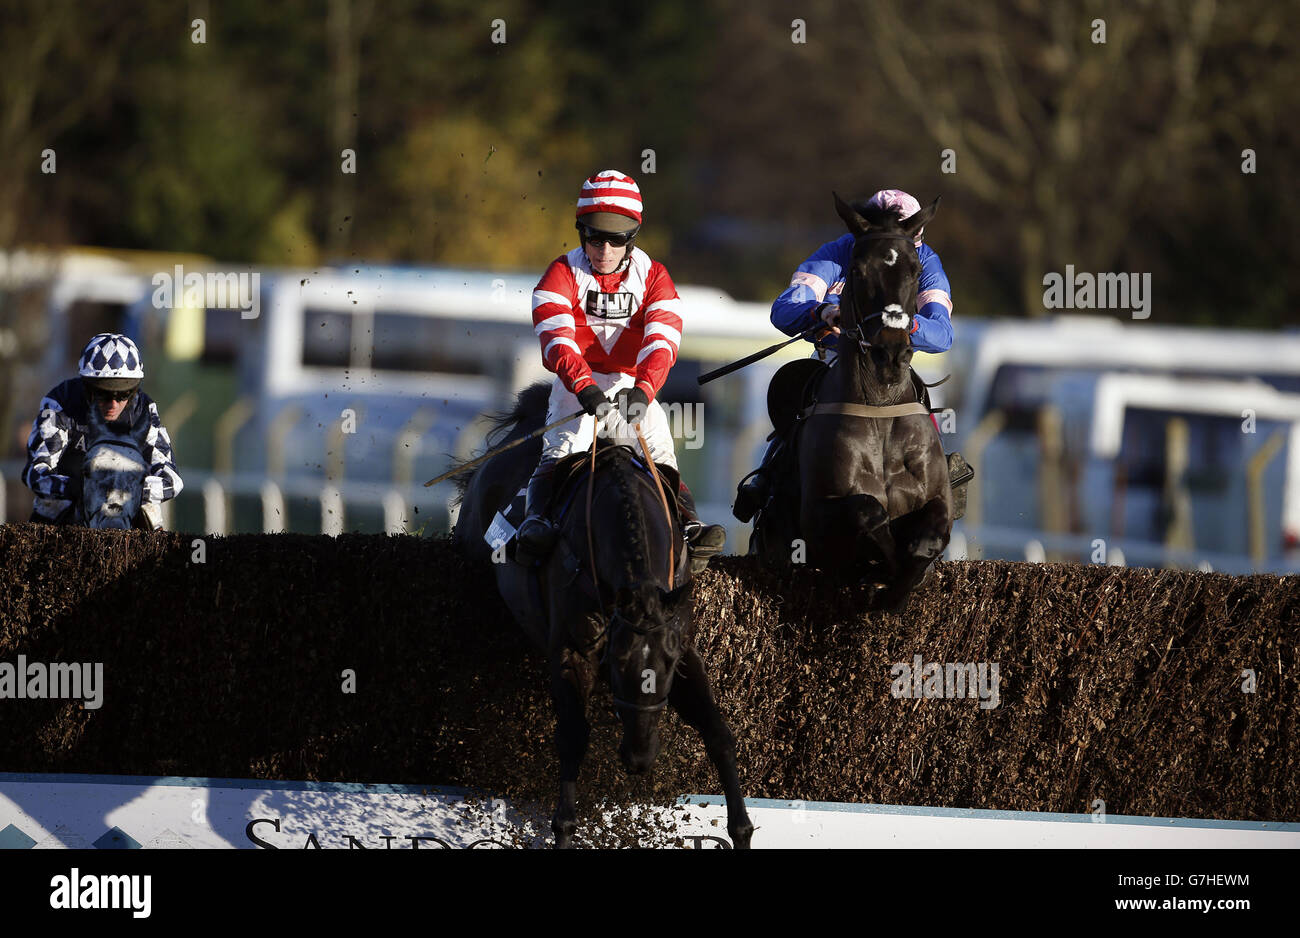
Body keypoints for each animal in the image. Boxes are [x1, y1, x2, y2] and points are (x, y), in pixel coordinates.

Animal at [452, 379, 754, 847]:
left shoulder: (683, 644)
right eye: (616, 662)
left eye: (667, 666)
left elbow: (718, 733)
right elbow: (573, 738)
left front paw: (741, 828)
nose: (639, 758)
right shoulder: (570, 650)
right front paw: (562, 828)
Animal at [754, 193, 956, 610]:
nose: (890, 354)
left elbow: (925, 541)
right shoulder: (816, 521)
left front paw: (899, 580)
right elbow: (867, 511)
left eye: (915, 270)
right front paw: (881, 573)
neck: (879, 406)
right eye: (857, 270)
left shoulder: (939, 502)